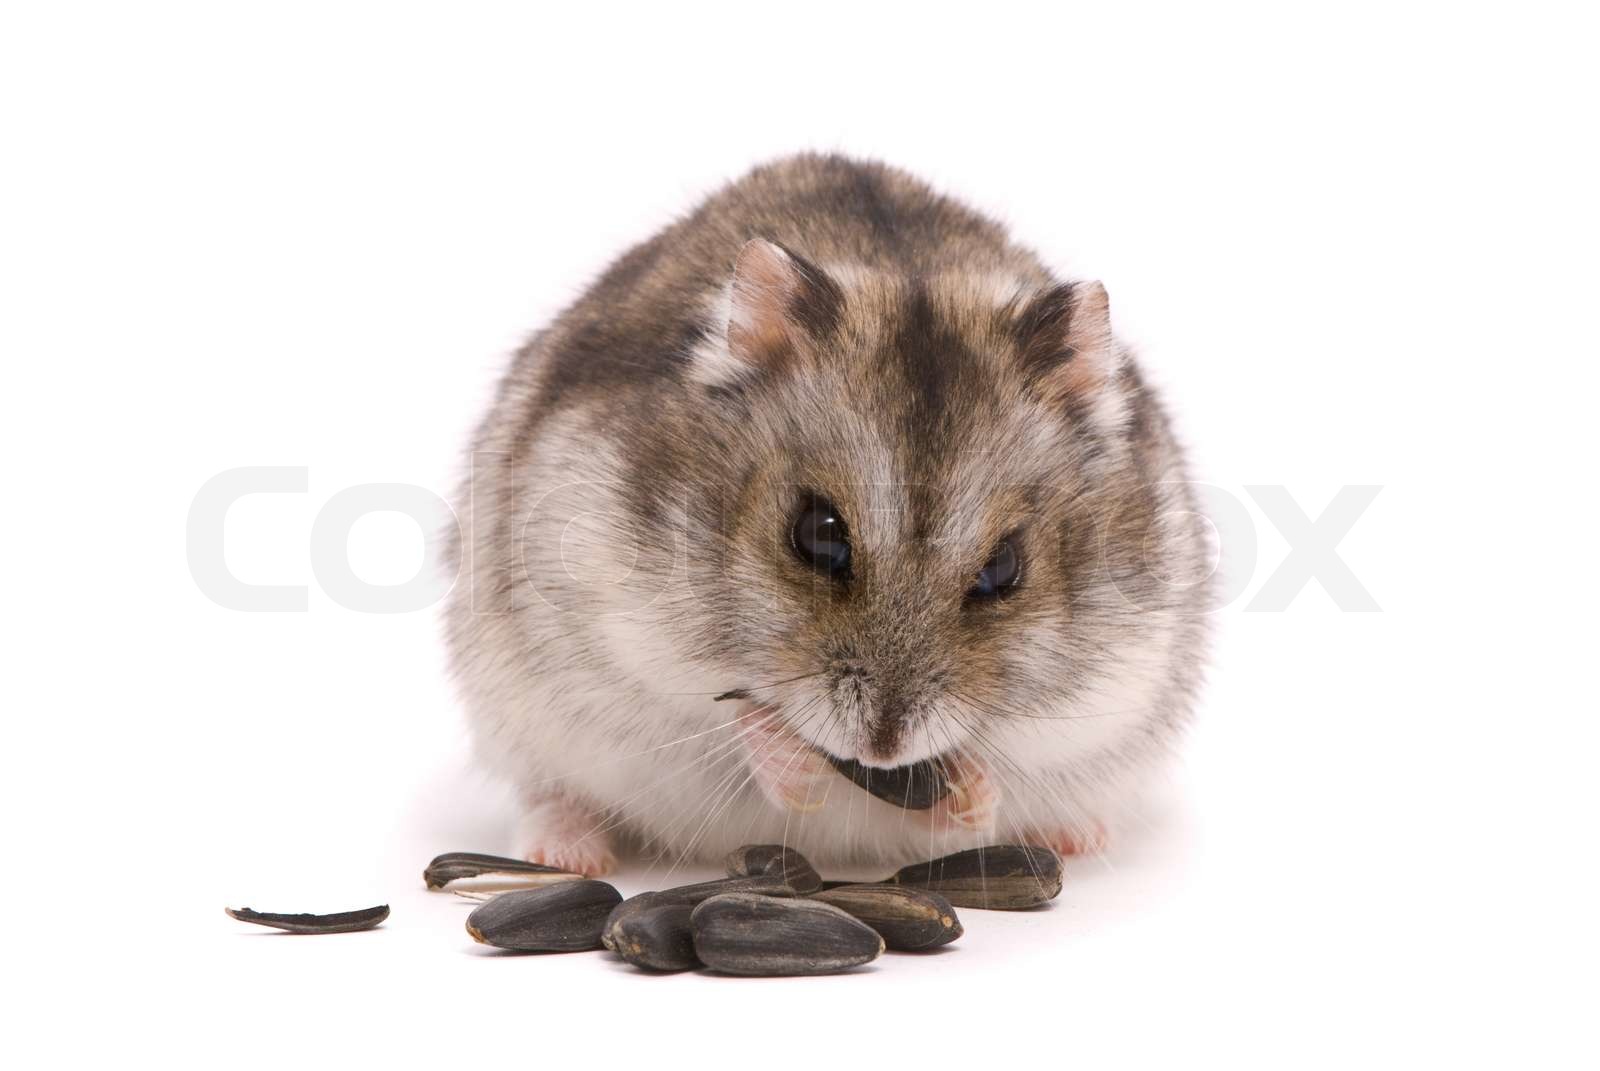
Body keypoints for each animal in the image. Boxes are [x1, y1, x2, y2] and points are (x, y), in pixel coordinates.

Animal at [444, 154, 1210, 875]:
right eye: (816, 535)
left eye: (1004, 569)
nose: (884, 749)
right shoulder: (616, 639)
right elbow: (734, 727)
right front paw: (795, 763)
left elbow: (980, 798)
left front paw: (971, 789)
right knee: (551, 791)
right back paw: (566, 853)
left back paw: (1076, 836)